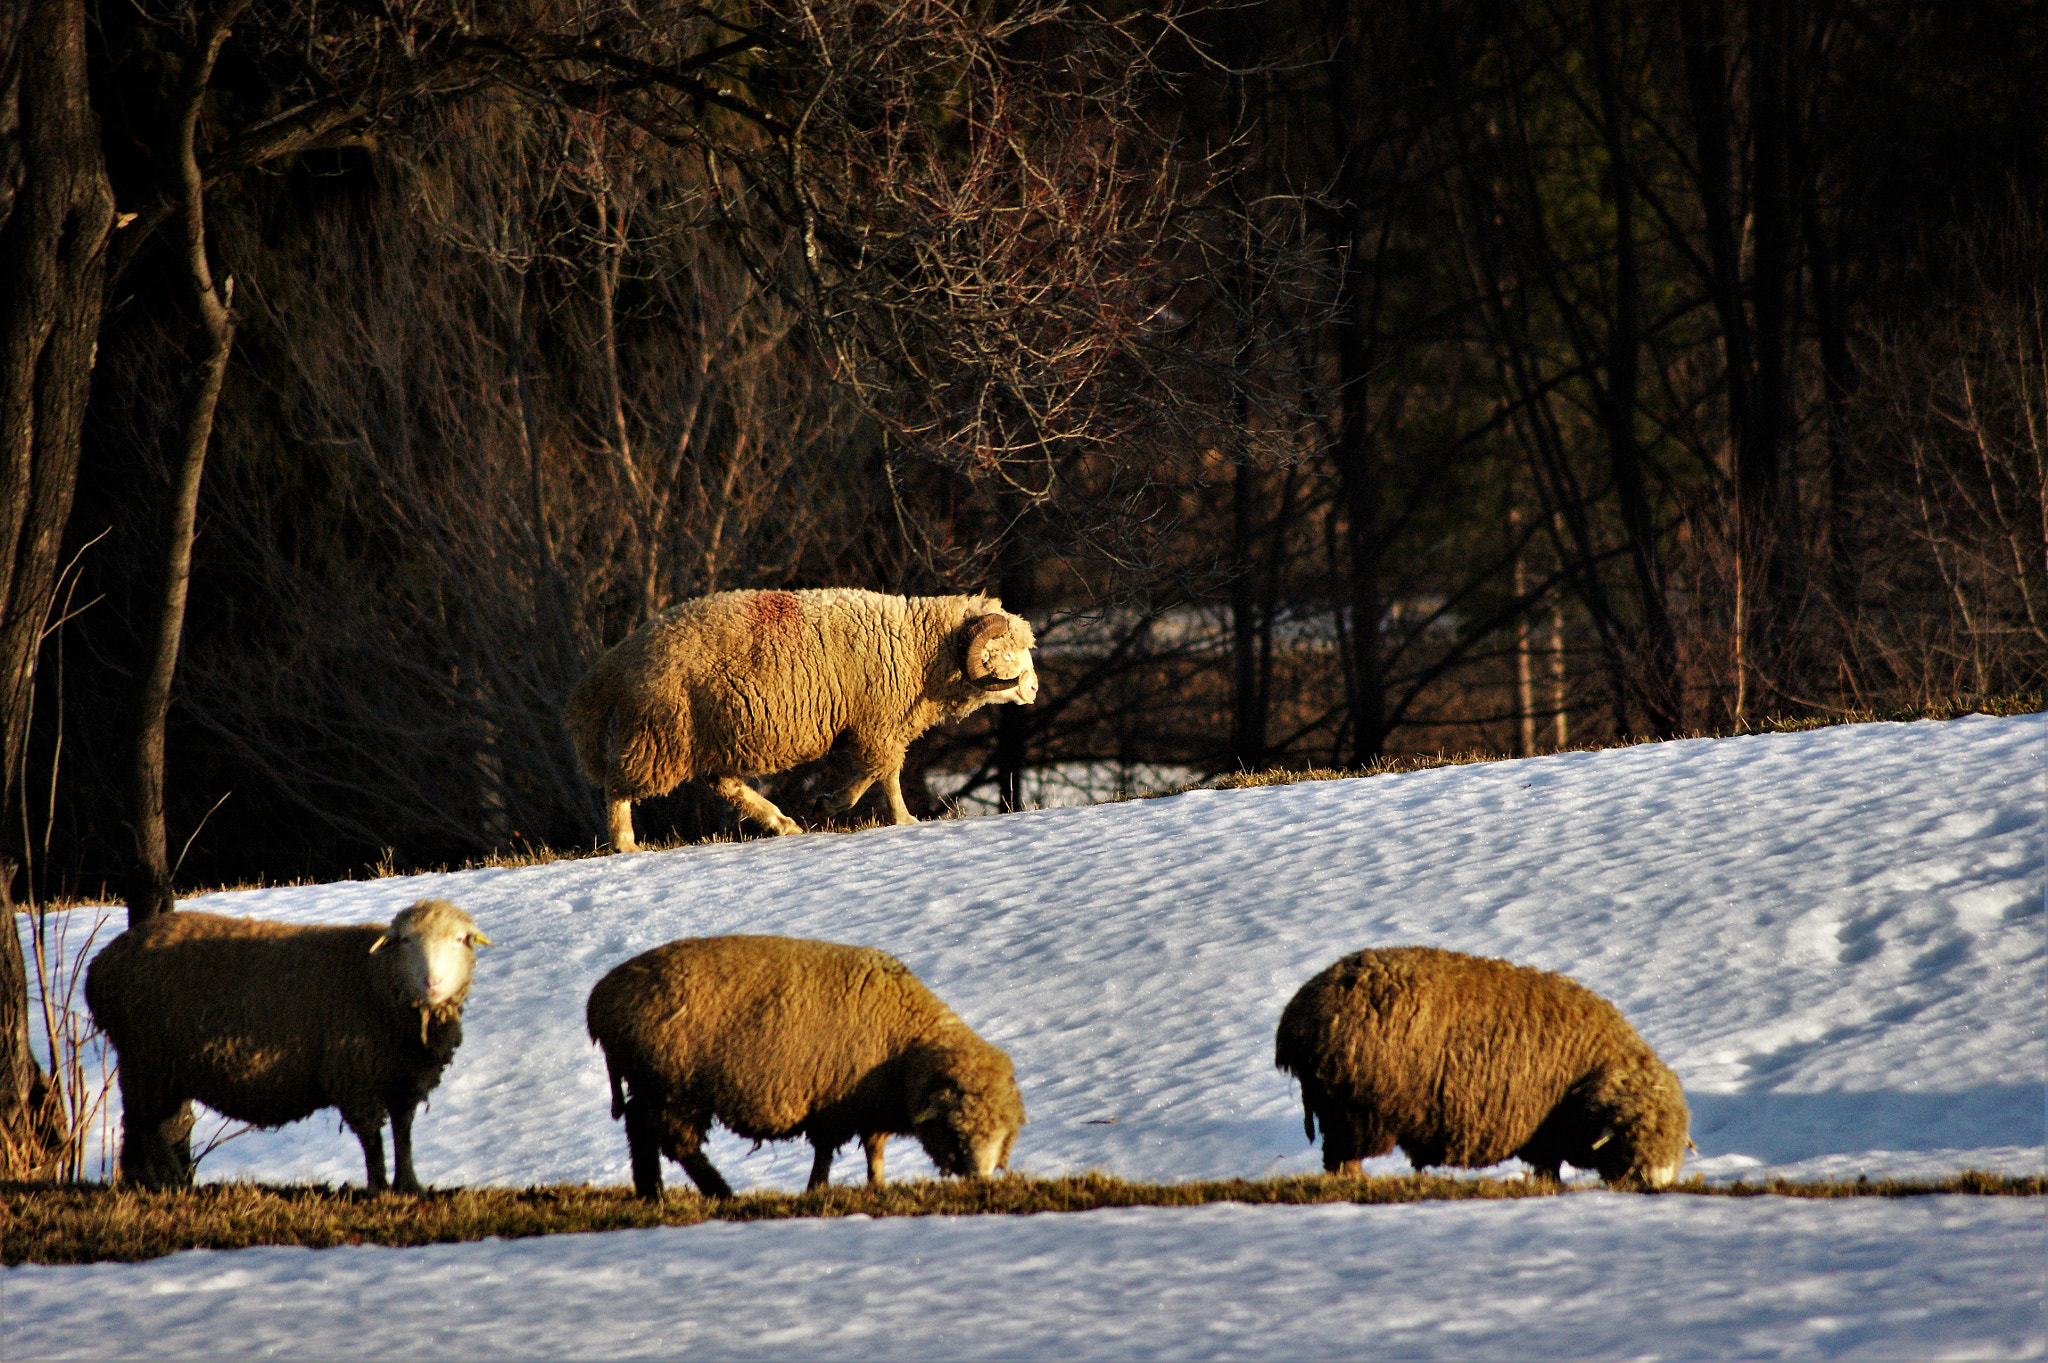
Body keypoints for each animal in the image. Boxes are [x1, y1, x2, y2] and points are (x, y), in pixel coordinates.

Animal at [86, 896, 493, 1186]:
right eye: (406, 940)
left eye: (460, 940)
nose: (432, 982)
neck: (377, 980)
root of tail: (102, 965)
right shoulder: (355, 1079)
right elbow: (373, 1143)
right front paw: (378, 1188)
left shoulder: (404, 1081)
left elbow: (403, 1135)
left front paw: (409, 1186)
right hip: (148, 1058)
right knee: (145, 1123)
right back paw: (168, 1180)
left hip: (153, 1063)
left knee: (136, 1122)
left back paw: (143, 1181)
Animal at [565, 585, 1032, 851]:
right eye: (1005, 653)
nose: (1033, 691)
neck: (916, 646)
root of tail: (613, 666)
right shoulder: (875, 720)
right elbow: (886, 775)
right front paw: (902, 820)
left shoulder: (869, 723)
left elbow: (873, 772)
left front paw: (832, 804)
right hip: (659, 735)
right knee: (619, 788)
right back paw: (626, 846)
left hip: (708, 734)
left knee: (724, 784)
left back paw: (783, 823)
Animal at [585, 929, 1024, 1195]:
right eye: (956, 1131)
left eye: (1004, 1134)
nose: (982, 1181)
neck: (905, 1045)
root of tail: (601, 999)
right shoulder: (835, 1102)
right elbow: (827, 1150)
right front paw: (818, 1190)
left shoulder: (867, 1103)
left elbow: (873, 1148)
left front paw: (876, 1186)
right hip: (671, 1084)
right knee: (676, 1142)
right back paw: (720, 1193)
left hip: (651, 1083)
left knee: (639, 1129)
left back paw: (653, 1194)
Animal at [1269, 945, 1687, 1178]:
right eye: (1631, 1138)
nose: (1655, 1184)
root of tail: (1295, 1017)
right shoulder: (1547, 1133)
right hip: (1353, 1111)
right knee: (1342, 1162)